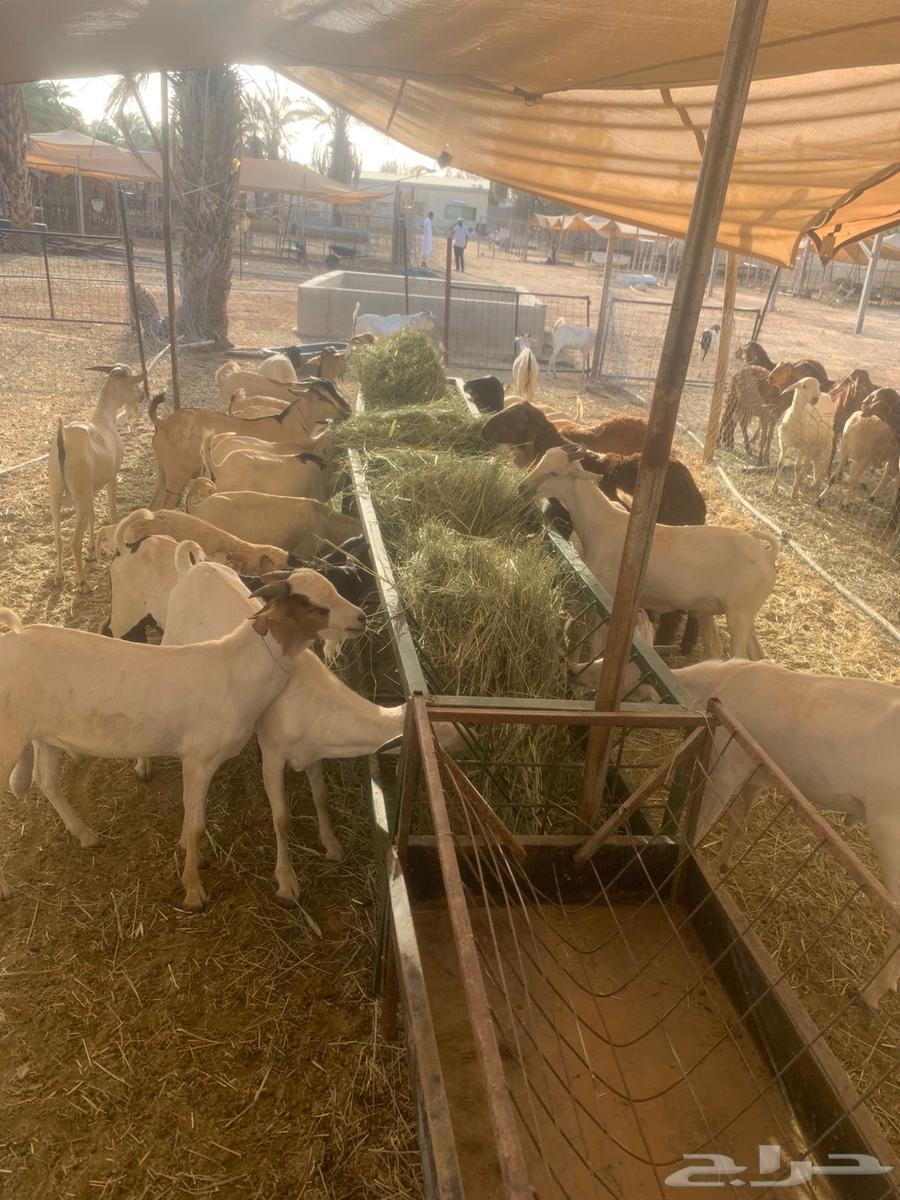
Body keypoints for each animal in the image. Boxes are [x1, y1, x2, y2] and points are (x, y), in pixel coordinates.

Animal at [0, 570, 366, 909]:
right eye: (311, 605)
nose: (361, 618)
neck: (236, 670)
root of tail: (14, 637)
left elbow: (192, 817)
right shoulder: (198, 758)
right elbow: (196, 825)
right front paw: (193, 892)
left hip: (44, 734)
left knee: (46, 779)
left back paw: (86, 835)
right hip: (9, 738)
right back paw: (6, 889)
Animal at [48, 364, 143, 591]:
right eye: (133, 383)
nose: (142, 396)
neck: (104, 420)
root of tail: (63, 440)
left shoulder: (90, 489)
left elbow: (93, 516)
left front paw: (91, 551)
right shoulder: (111, 478)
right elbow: (113, 511)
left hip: (56, 492)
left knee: (58, 537)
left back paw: (59, 576)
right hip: (79, 494)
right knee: (74, 541)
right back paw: (83, 583)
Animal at [149, 378, 350, 509]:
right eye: (321, 395)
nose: (347, 409)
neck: (289, 424)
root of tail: (164, 422)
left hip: (164, 472)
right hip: (178, 475)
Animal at [520, 447, 778, 659]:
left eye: (554, 473)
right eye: (542, 460)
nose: (522, 487)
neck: (603, 523)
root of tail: (766, 555)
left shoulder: (608, 594)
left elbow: (595, 640)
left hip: (739, 614)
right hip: (715, 610)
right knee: (743, 654)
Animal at [566, 656, 900, 1010]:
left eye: (607, 671)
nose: (572, 670)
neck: (714, 687)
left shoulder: (728, 766)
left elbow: (704, 823)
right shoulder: (753, 771)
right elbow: (739, 817)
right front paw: (719, 867)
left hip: (889, 828)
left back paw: (872, 992)